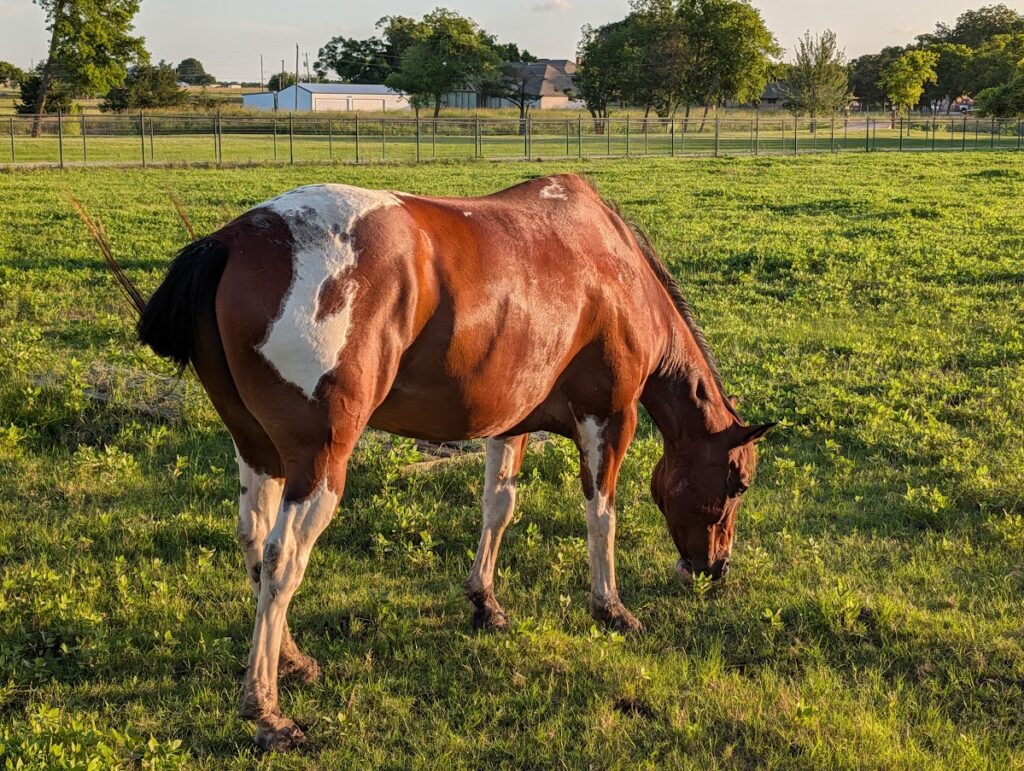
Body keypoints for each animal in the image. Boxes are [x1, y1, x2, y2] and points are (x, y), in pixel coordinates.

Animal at [101, 173, 773, 751]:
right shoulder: (608, 417)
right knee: (282, 558)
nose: (713, 568)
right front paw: (610, 607)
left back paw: (291, 662)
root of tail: (234, 239)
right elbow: (601, 515)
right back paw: (266, 713)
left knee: (252, 542)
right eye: (737, 483)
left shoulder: (509, 424)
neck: (612, 264)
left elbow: (498, 507)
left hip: (259, 451)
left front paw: (486, 602)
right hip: (318, 463)